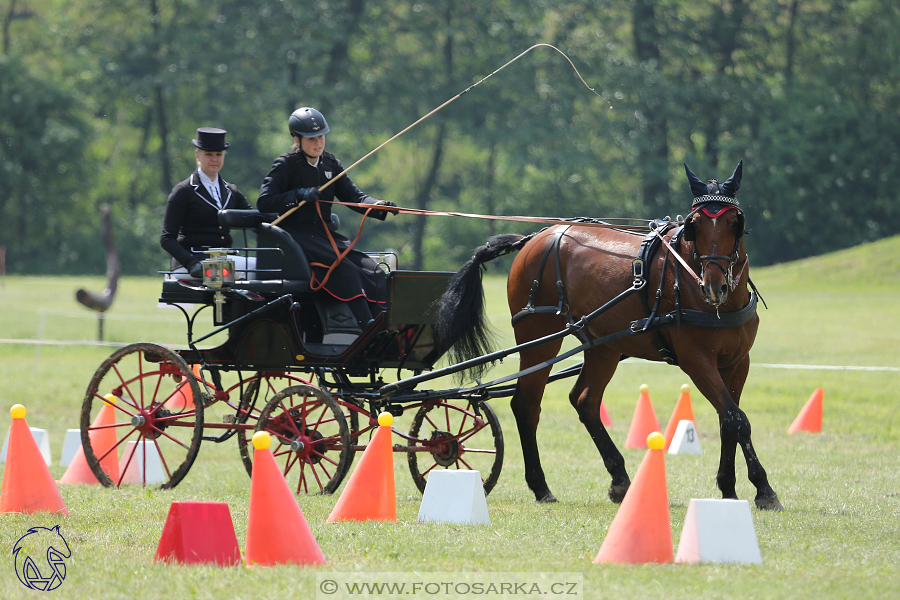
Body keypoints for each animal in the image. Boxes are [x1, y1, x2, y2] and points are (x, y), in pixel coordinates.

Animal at [434, 161, 780, 510]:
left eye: (735, 222)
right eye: (694, 225)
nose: (713, 286)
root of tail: (533, 238)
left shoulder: (737, 362)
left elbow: (728, 420)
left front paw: (730, 488)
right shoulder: (695, 360)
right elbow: (736, 419)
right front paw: (764, 489)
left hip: (603, 346)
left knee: (584, 400)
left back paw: (619, 479)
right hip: (540, 338)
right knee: (526, 404)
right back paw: (541, 485)